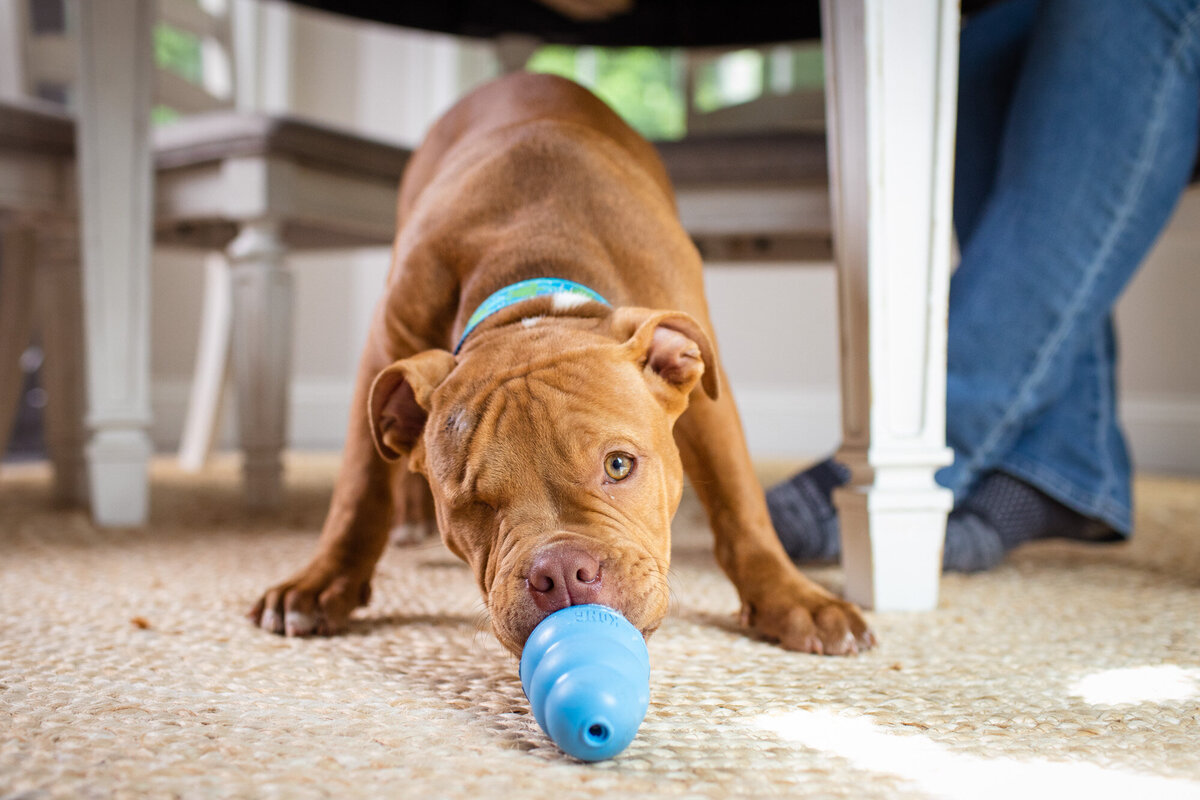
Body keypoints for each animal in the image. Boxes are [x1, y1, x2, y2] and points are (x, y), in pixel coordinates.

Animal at [253, 70, 873, 657]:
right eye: (471, 505)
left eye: (619, 465)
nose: (561, 571)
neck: (536, 284)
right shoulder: (385, 349)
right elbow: (359, 490)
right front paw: (321, 583)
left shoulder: (706, 397)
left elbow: (738, 501)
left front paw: (796, 600)